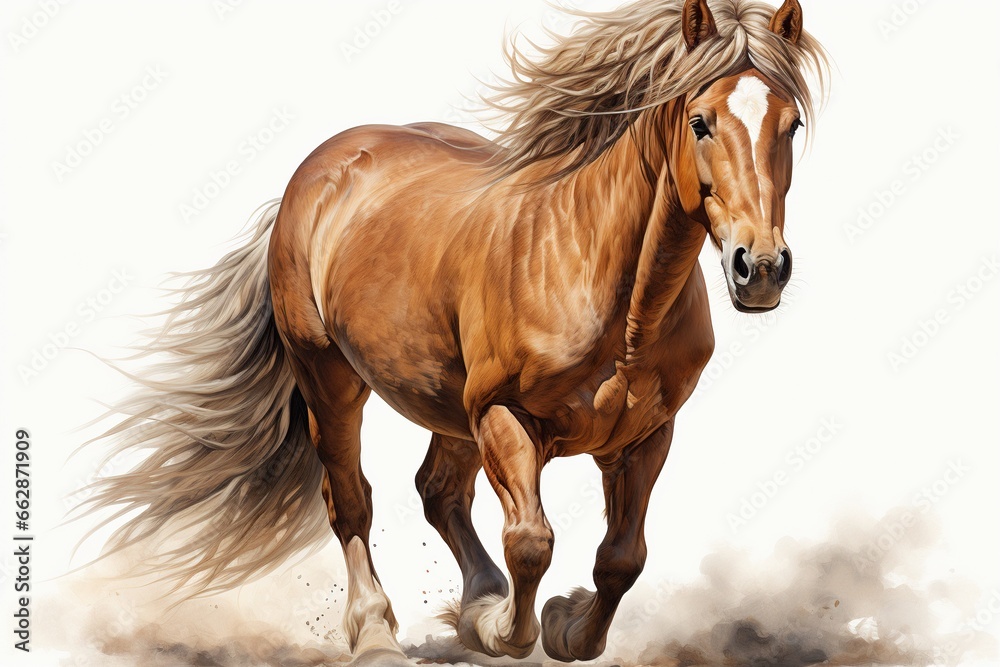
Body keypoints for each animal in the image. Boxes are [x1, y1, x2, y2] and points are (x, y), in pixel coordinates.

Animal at [86, 0, 828, 662]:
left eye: (790, 125)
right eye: (700, 121)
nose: (761, 267)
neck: (613, 299)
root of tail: (321, 168)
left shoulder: (645, 435)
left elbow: (622, 557)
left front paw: (559, 626)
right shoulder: (504, 414)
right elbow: (531, 540)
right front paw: (505, 628)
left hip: (446, 403)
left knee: (438, 491)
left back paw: (470, 605)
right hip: (332, 379)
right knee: (350, 500)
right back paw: (377, 635)